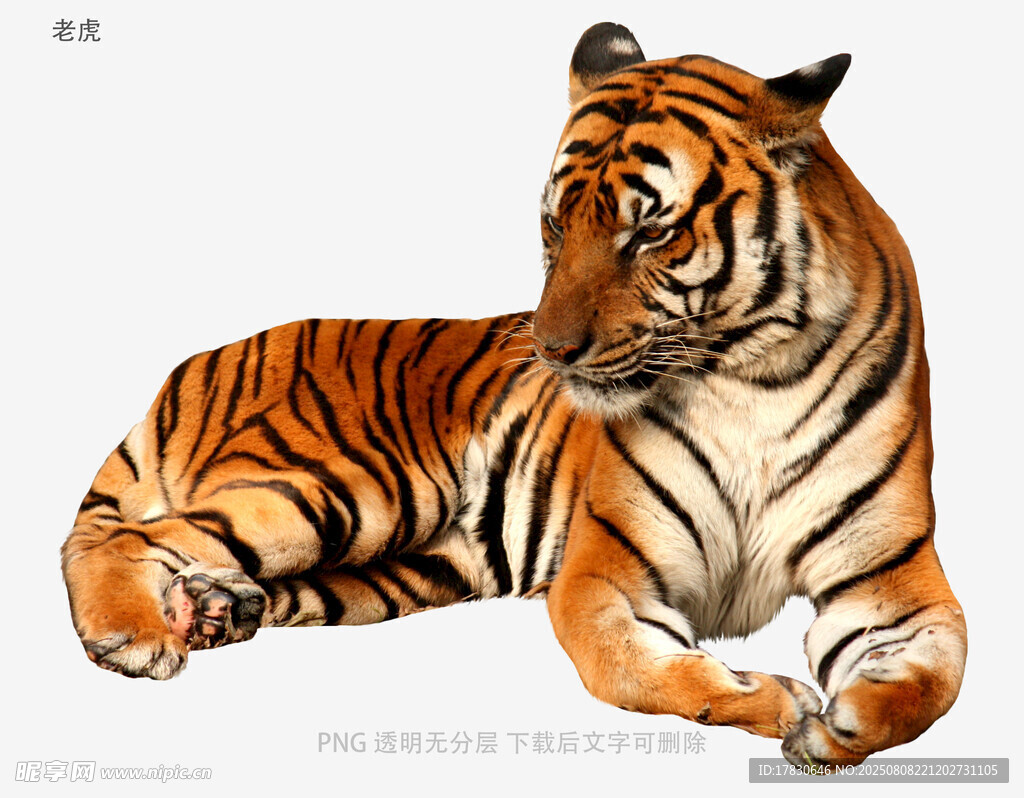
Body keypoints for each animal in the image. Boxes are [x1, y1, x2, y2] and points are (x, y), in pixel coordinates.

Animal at [61, 22, 966, 768]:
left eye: (650, 231)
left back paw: (215, 610)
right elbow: (630, 669)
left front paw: (841, 727)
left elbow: (939, 678)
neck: (750, 378)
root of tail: (196, 363)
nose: (552, 351)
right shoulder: (607, 571)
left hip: (403, 566)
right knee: (123, 538)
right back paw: (134, 637)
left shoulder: (891, 575)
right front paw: (778, 702)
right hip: (350, 488)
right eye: (557, 225)